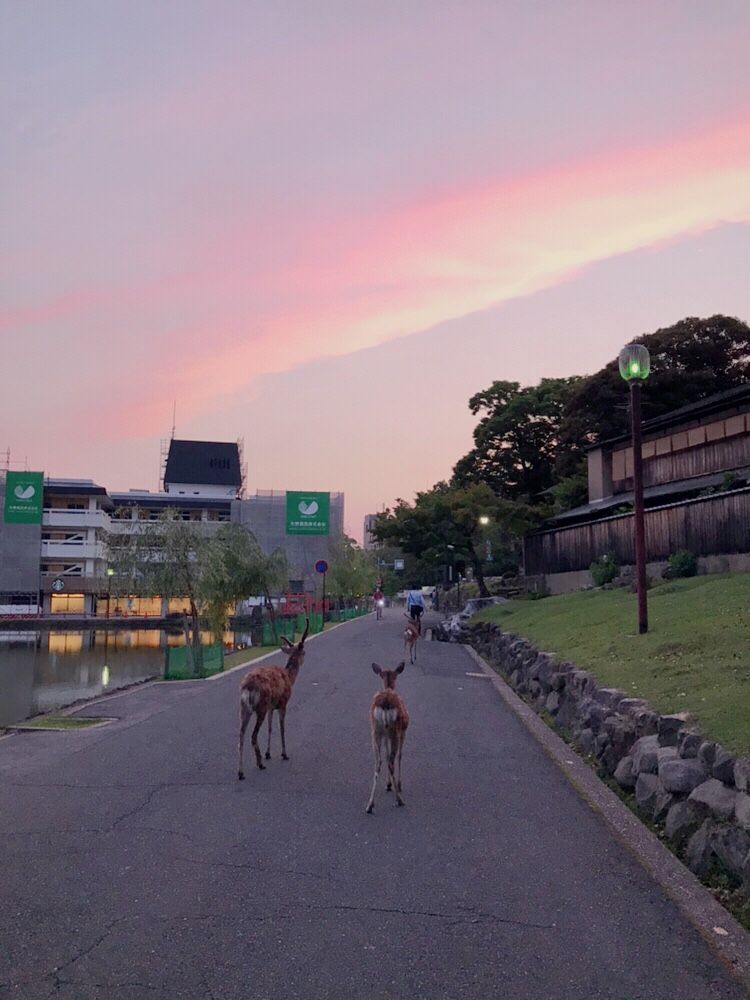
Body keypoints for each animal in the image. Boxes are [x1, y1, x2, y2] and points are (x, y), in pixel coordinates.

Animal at [238, 616, 308, 780]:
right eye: (303, 652)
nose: (305, 657)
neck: (289, 677)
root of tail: (247, 687)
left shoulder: (271, 706)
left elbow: (270, 728)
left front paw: (268, 753)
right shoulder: (283, 702)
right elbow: (282, 728)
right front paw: (284, 754)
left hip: (244, 708)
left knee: (241, 734)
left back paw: (240, 772)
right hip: (260, 707)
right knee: (253, 735)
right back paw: (259, 763)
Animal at [366, 664, 412, 812]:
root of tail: (385, 703)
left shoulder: (385, 736)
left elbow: (386, 756)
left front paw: (388, 784)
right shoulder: (403, 731)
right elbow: (400, 755)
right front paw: (397, 784)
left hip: (376, 730)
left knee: (378, 762)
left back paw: (370, 805)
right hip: (394, 730)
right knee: (392, 760)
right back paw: (399, 800)